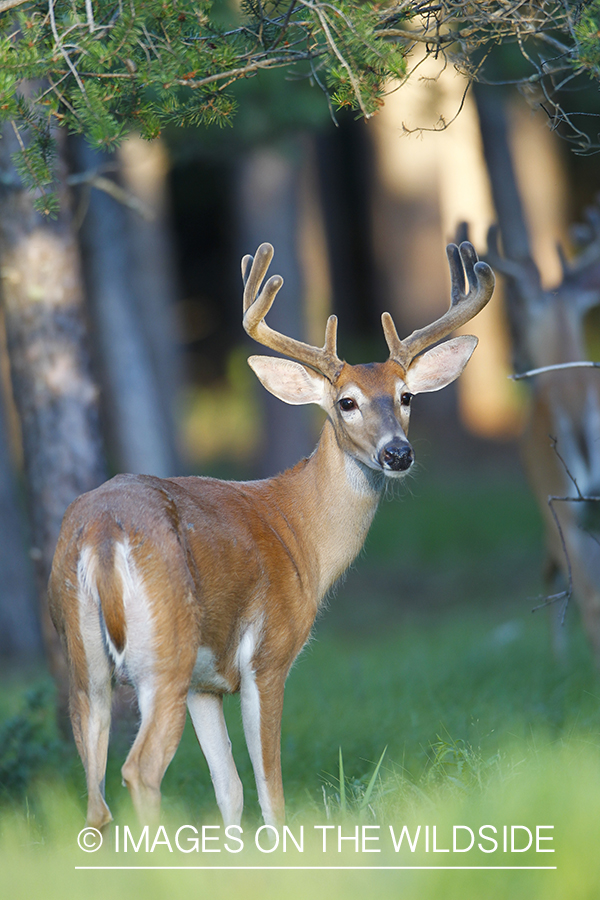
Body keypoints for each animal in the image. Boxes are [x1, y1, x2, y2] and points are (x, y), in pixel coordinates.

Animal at [49, 241, 494, 828]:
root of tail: (101, 531)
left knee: (95, 797)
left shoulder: (206, 682)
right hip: (163, 652)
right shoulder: (268, 655)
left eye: (406, 397)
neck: (298, 529)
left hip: (84, 663)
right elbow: (270, 791)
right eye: (346, 402)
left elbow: (230, 788)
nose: (398, 453)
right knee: (139, 771)